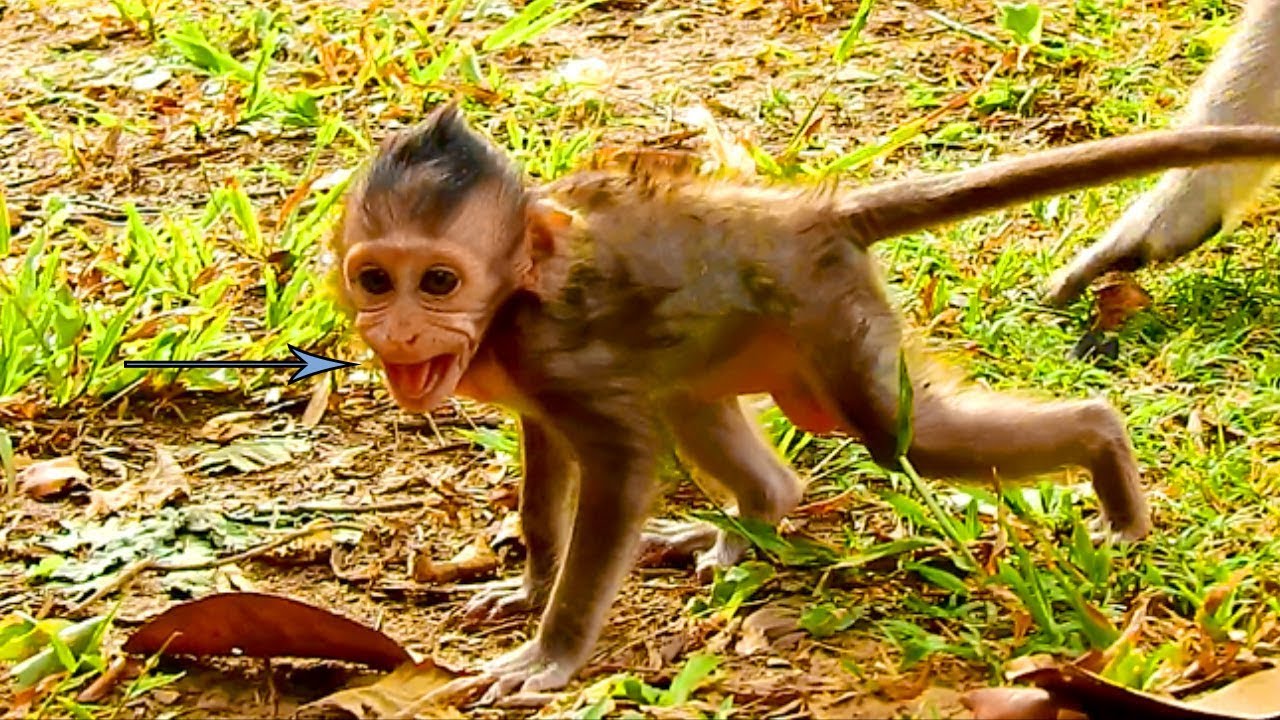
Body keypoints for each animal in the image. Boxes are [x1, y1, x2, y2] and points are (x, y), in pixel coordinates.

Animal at [333, 103, 1280, 700]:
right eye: (376, 279)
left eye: (439, 281)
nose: (400, 330)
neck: (505, 309)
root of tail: (802, 217)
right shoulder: (526, 381)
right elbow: (545, 464)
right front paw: (531, 581)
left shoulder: (547, 352)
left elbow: (622, 462)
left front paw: (553, 652)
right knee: (696, 404)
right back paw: (746, 522)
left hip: (832, 317)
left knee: (906, 440)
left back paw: (1108, 462)